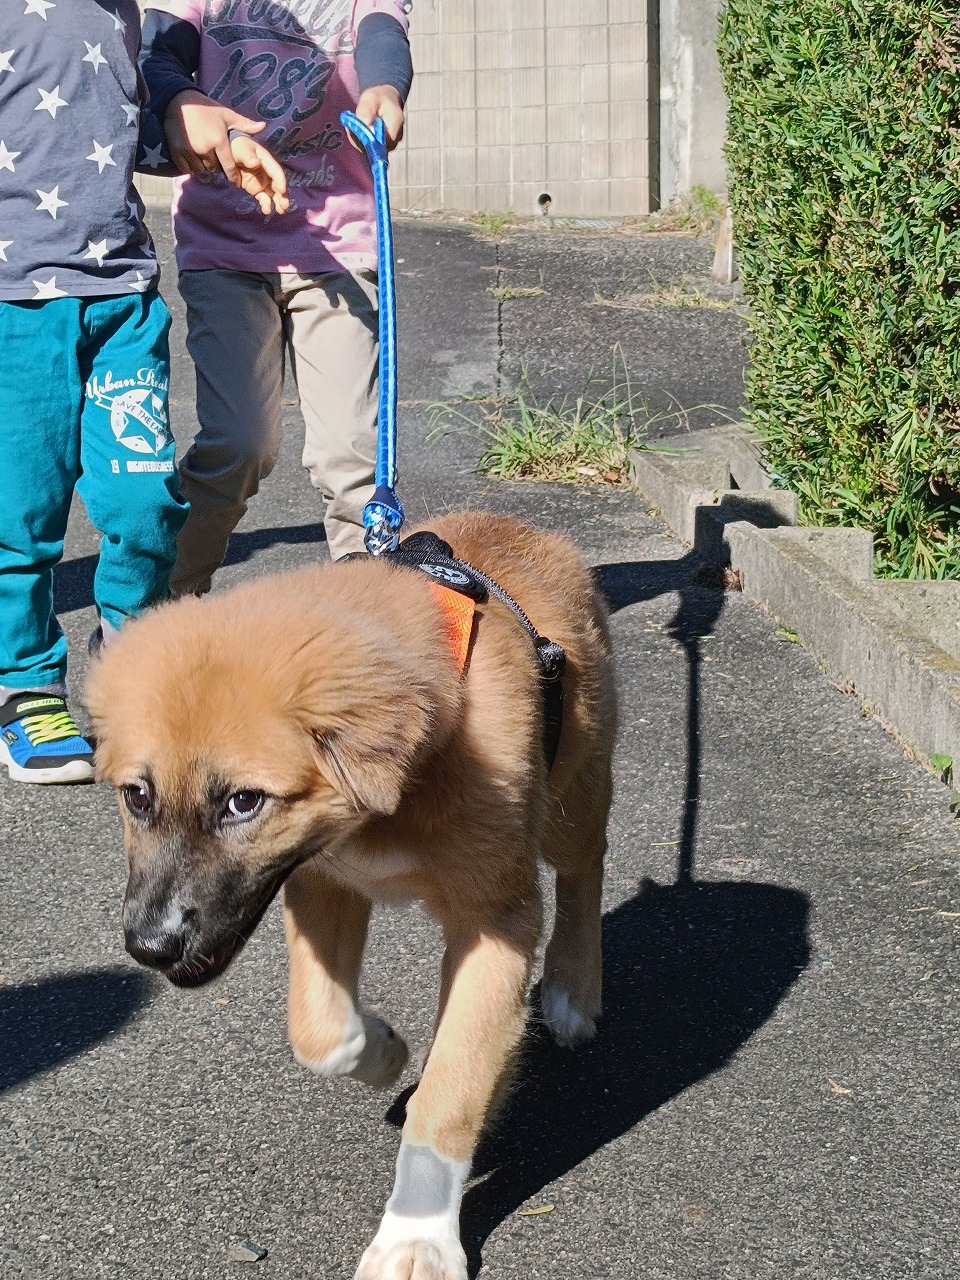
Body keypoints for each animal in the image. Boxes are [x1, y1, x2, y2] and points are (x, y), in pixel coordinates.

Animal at [88, 512, 616, 1280]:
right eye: (137, 796)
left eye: (243, 802)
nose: (149, 946)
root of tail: (522, 527)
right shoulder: (323, 879)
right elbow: (320, 1033)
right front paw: (387, 1053)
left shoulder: (498, 922)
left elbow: (451, 1096)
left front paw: (417, 1236)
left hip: (573, 796)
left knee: (585, 869)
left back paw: (574, 986)